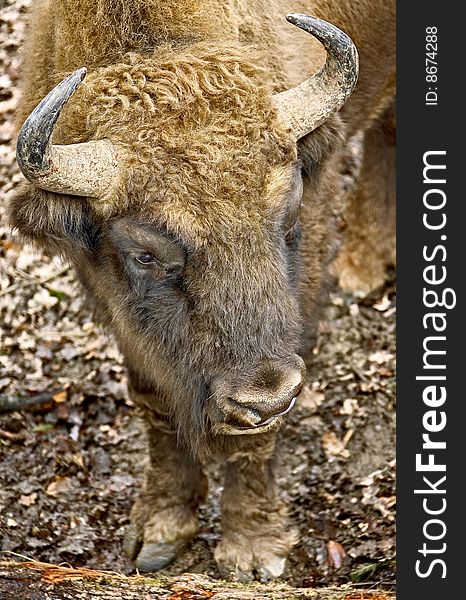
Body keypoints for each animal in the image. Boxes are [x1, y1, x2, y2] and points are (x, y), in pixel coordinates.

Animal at [8, 0, 394, 580]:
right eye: (144, 253)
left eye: (288, 211)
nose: (268, 397)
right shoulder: (111, 298)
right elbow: (153, 399)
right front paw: (161, 531)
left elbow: (254, 436)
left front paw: (253, 551)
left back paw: (360, 268)